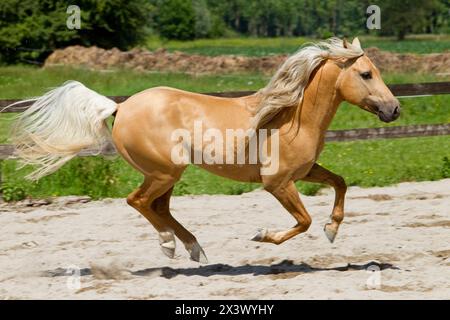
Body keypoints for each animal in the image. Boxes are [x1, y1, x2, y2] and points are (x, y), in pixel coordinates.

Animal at [10, 37, 400, 262]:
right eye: (366, 74)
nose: (394, 109)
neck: (292, 116)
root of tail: (120, 106)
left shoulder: (306, 171)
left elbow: (340, 183)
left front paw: (332, 229)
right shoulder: (277, 183)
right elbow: (303, 221)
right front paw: (263, 236)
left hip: (167, 175)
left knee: (158, 207)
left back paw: (193, 249)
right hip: (165, 171)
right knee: (139, 202)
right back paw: (169, 246)